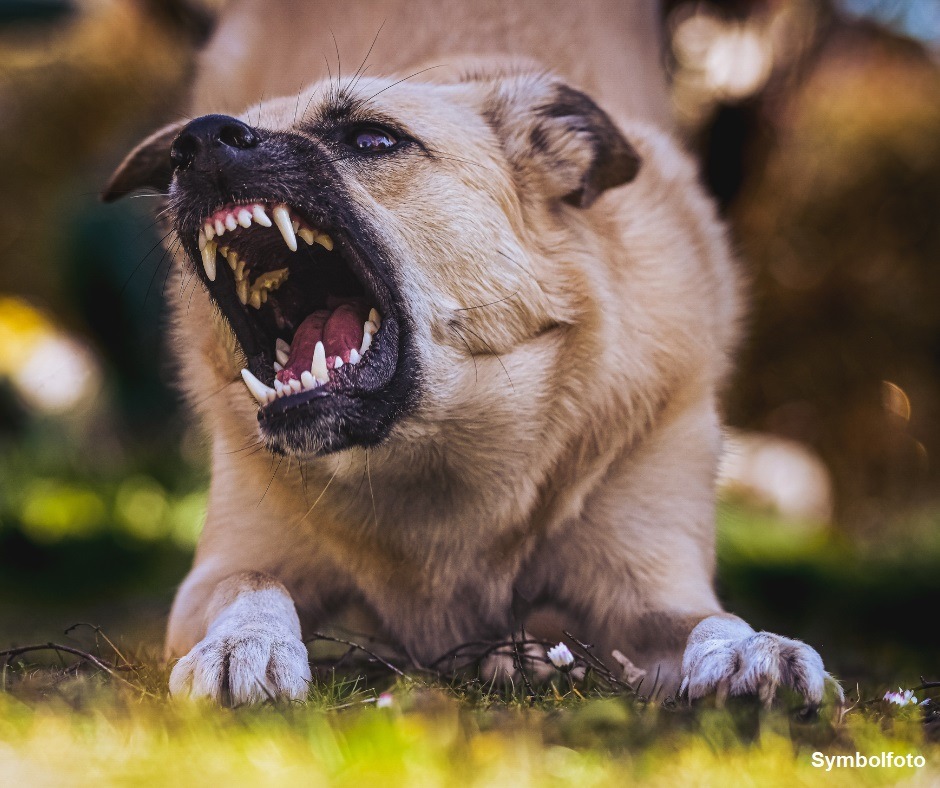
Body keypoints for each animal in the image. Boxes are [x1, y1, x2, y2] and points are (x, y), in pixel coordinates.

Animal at [103, 0, 836, 704]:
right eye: (191, 144)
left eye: (372, 138)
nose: (198, 141)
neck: (433, 456)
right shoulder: (220, 571)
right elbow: (252, 584)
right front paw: (244, 643)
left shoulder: (653, 586)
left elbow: (708, 619)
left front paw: (751, 649)